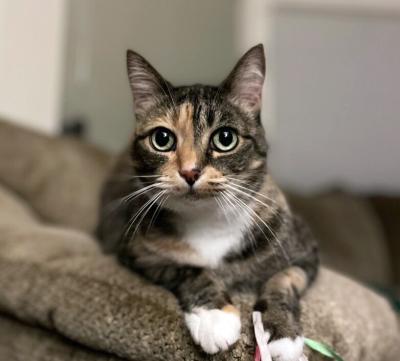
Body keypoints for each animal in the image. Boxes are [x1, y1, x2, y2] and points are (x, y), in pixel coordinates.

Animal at [97, 43, 318, 358]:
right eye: (162, 139)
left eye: (225, 138)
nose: (190, 171)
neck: (209, 220)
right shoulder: (137, 251)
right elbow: (189, 270)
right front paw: (216, 318)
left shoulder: (304, 251)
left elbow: (283, 280)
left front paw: (281, 335)